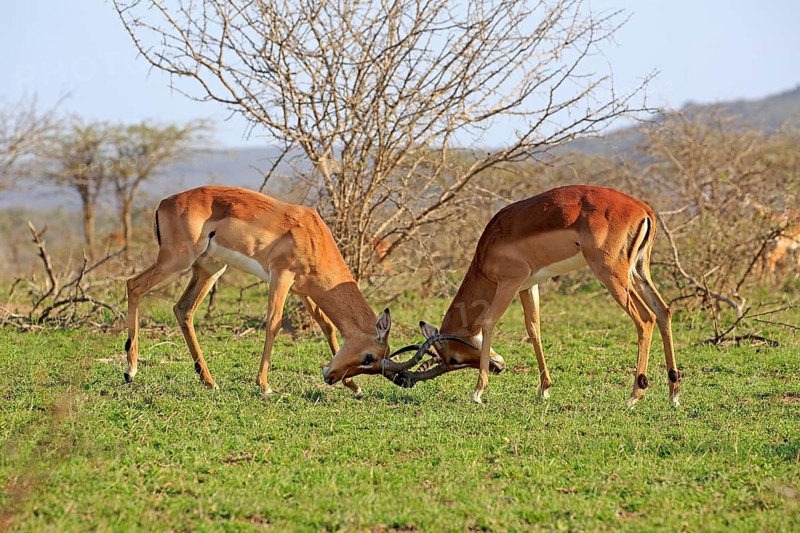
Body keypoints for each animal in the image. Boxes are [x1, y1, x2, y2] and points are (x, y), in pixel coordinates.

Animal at [125, 186, 399, 397]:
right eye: (369, 357)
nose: (331, 377)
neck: (313, 235)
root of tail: (164, 203)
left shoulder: (303, 290)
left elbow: (327, 326)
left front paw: (354, 387)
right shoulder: (281, 276)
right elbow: (274, 324)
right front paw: (264, 385)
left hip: (208, 270)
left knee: (183, 309)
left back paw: (209, 381)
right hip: (176, 261)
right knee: (133, 285)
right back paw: (131, 370)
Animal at [377, 185, 681, 406]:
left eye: (452, 360)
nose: (499, 367)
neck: (488, 249)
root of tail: (644, 209)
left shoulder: (510, 282)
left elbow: (488, 321)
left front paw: (478, 391)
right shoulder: (528, 285)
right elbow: (534, 328)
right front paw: (544, 388)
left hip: (611, 273)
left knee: (645, 318)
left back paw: (635, 395)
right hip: (638, 271)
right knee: (663, 311)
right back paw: (673, 393)